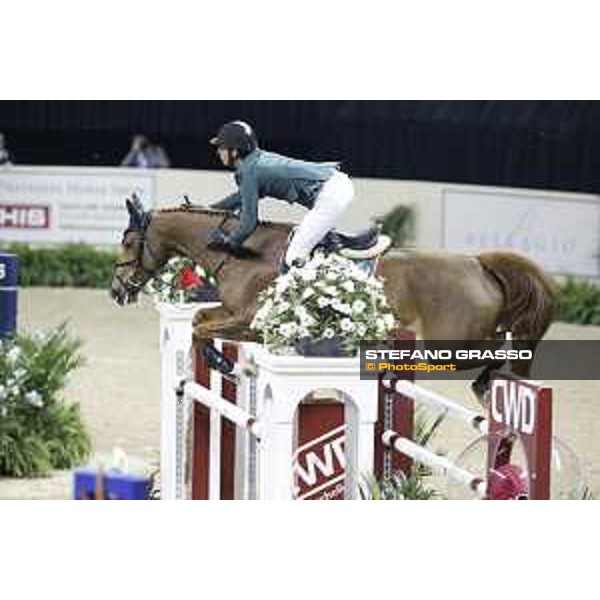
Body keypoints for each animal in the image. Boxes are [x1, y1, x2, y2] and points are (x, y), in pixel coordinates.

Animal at [110, 202, 556, 404]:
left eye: (129, 242)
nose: (116, 291)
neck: (242, 252)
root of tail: (479, 263)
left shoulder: (250, 321)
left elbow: (201, 327)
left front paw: (230, 367)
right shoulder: (235, 316)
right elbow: (201, 318)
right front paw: (229, 366)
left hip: (450, 345)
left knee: (500, 349)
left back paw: (492, 384)